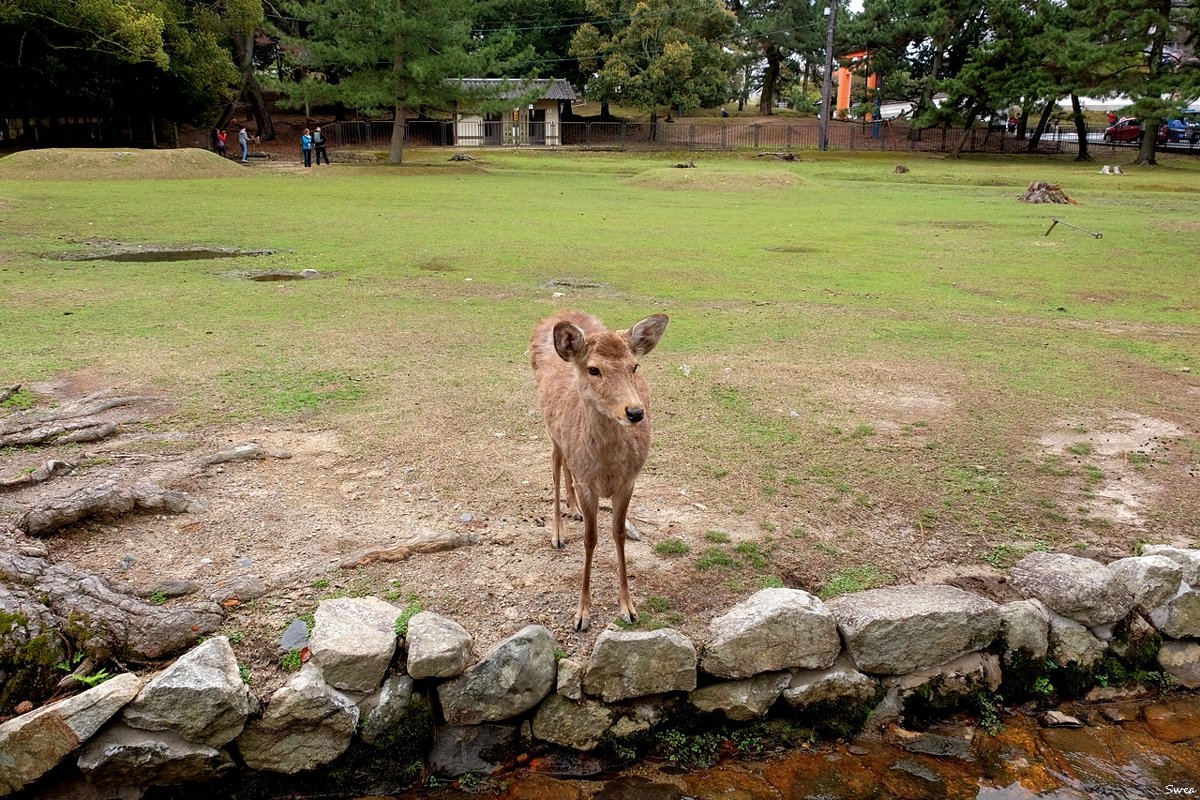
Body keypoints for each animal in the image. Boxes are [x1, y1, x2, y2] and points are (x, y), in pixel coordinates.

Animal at [530, 311, 672, 633]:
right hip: (551, 432)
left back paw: (573, 510)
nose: (635, 412)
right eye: (594, 369)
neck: (607, 468)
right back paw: (558, 532)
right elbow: (590, 539)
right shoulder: (588, 484)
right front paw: (581, 614)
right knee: (556, 464)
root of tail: (560, 313)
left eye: (634, 366)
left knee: (566, 465)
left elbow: (618, 533)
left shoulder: (629, 480)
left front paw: (628, 608)